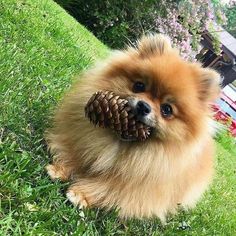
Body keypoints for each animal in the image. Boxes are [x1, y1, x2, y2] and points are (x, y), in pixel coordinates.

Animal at [45, 34, 219, 220]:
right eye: (139, 86)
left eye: (166, 110)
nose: (144, 106)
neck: (119, 143)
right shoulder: (83, 142)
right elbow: (74, 154)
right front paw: (60, 168)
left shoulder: (137, 186)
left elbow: (109, 189)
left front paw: (80, 195)